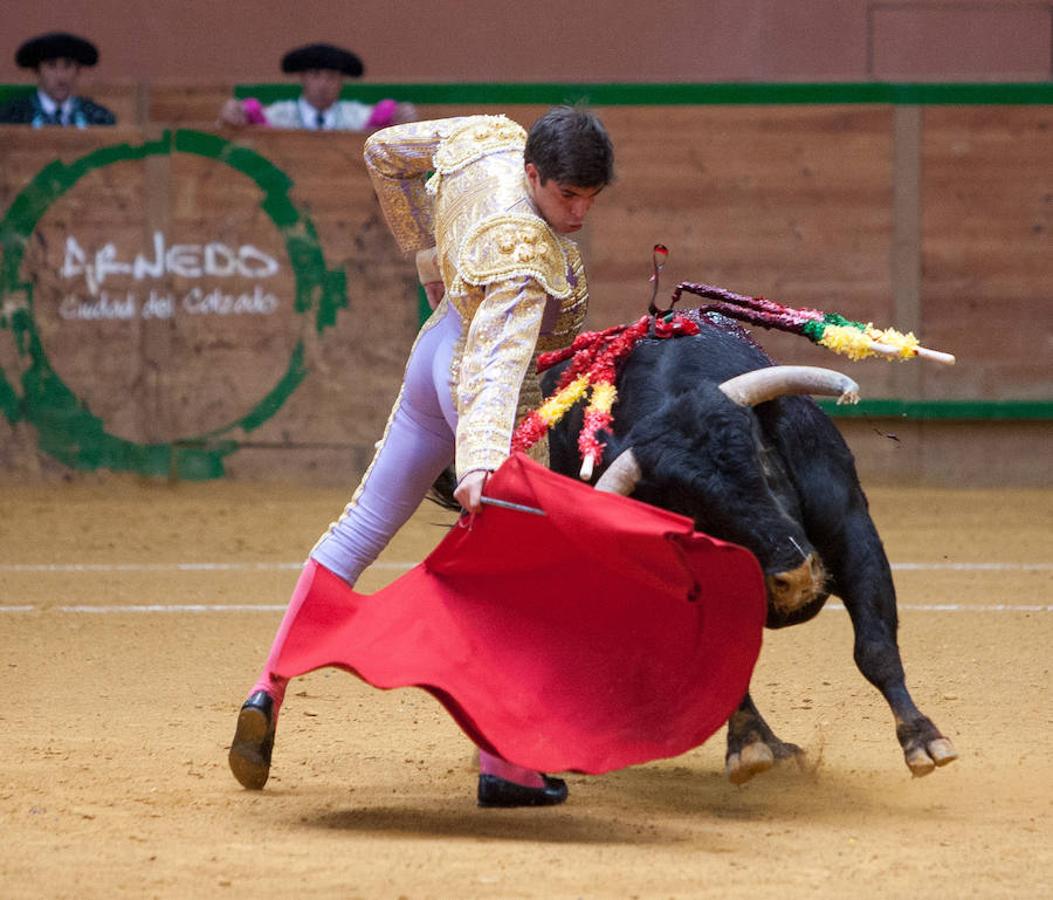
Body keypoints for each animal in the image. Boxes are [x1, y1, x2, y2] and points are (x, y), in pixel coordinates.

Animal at [539, 320, 960, 783]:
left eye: (763, 460)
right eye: (691, 510)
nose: (796, 577)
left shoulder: (854, 534)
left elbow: (875, 647)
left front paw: (924, 741)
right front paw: (749, 746)